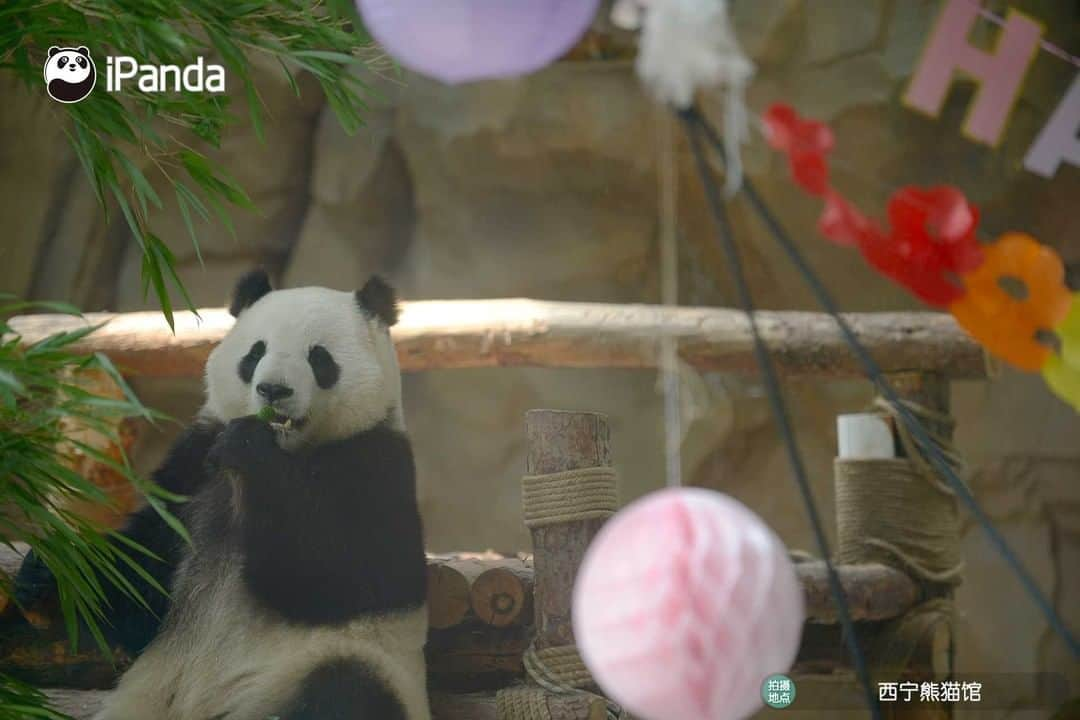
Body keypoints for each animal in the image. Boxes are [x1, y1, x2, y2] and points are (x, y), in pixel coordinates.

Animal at [85, 272, 429, 720]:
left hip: (326, 667)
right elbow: (142, 560)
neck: (291, 448)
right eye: (255, 352)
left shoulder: (375, 463)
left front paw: (250, 449)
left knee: (347, 690)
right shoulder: (195, 463)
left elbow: (346, 577)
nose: (273, 390)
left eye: (319, 358)